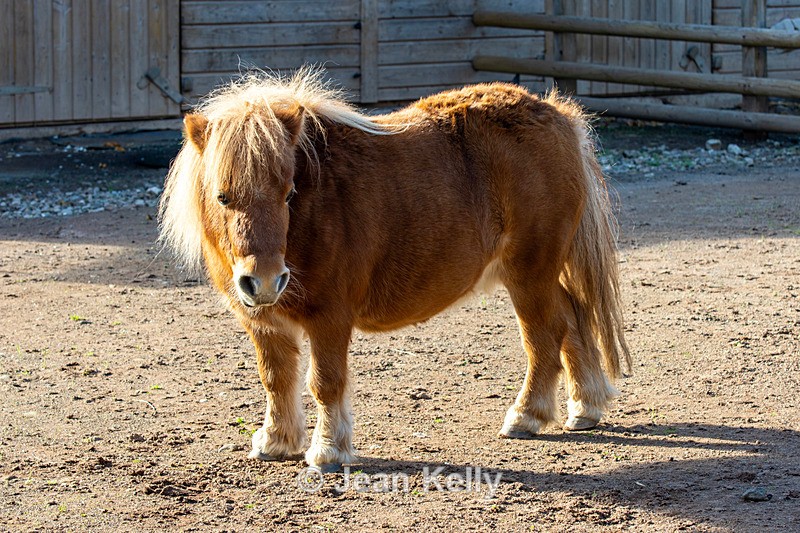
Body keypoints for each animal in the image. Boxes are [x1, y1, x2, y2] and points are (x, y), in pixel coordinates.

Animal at [159, 67, 630, 472]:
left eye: (289, 192)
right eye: (222, 196)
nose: (264, 282)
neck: (316, 207)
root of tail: (558, 115)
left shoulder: (329, 318)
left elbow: (324, 382)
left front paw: (328, 451)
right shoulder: (264, 323)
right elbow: (275, 379)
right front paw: (276, 441)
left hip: (529, 272)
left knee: (545, 335)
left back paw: (526, 416)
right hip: (538, 273)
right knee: (571, 321)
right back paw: (585, 408)